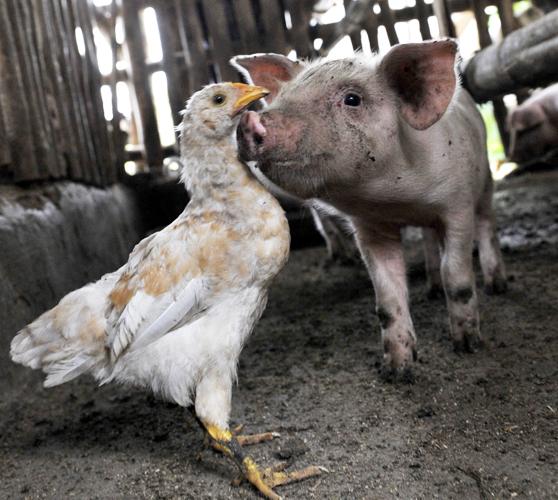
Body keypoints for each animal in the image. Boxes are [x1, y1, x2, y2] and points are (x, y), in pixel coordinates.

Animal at [232, 40, 507, 377]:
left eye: (353, 99)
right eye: (283, 95)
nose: (250, 120)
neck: (400, 202)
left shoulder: (457, 206)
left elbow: (456, 275)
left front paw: (467, 346)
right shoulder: (371, 228)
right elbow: (387, 298)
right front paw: (396, 371)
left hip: (485, 185)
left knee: (487, 225)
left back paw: (497, 286)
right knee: (430, 242)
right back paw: (430, 290)